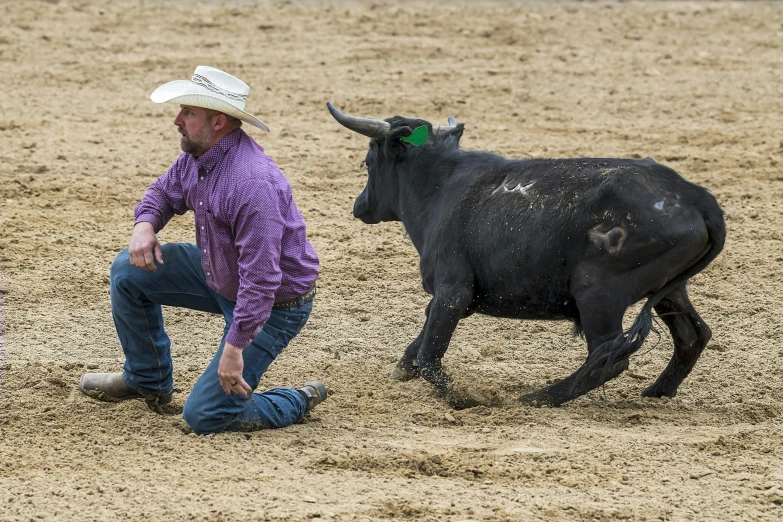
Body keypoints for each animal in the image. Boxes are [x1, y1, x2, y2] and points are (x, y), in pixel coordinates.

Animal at [328, 101, 724, 406]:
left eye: (367, 163)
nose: (359, 206)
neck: (442, 188)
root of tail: (693, 196)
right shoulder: (453, 298)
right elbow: (422, 340)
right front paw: (402, 370)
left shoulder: (452, 292)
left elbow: (430, 355)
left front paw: (463, 399)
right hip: (669, 289)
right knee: (691, 336)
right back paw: (657, 391)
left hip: (598, 293)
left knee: (609, 358)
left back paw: (539, 398)